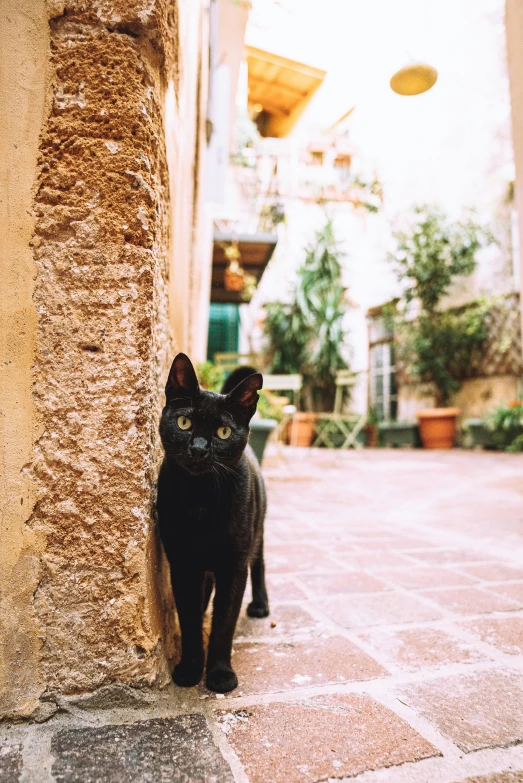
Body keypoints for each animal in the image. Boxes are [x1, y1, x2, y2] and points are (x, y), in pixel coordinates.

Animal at [157, 356, 270, 692]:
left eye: (223, 432)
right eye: (184, 423)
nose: (198, 448)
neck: (201, 498)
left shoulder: (234, 566)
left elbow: (224, 623)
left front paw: (220, 673)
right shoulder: (182, 564)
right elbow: (189, 618)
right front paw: (190, 668)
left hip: (257, 530)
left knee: (260, 563)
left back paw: (260, 605)